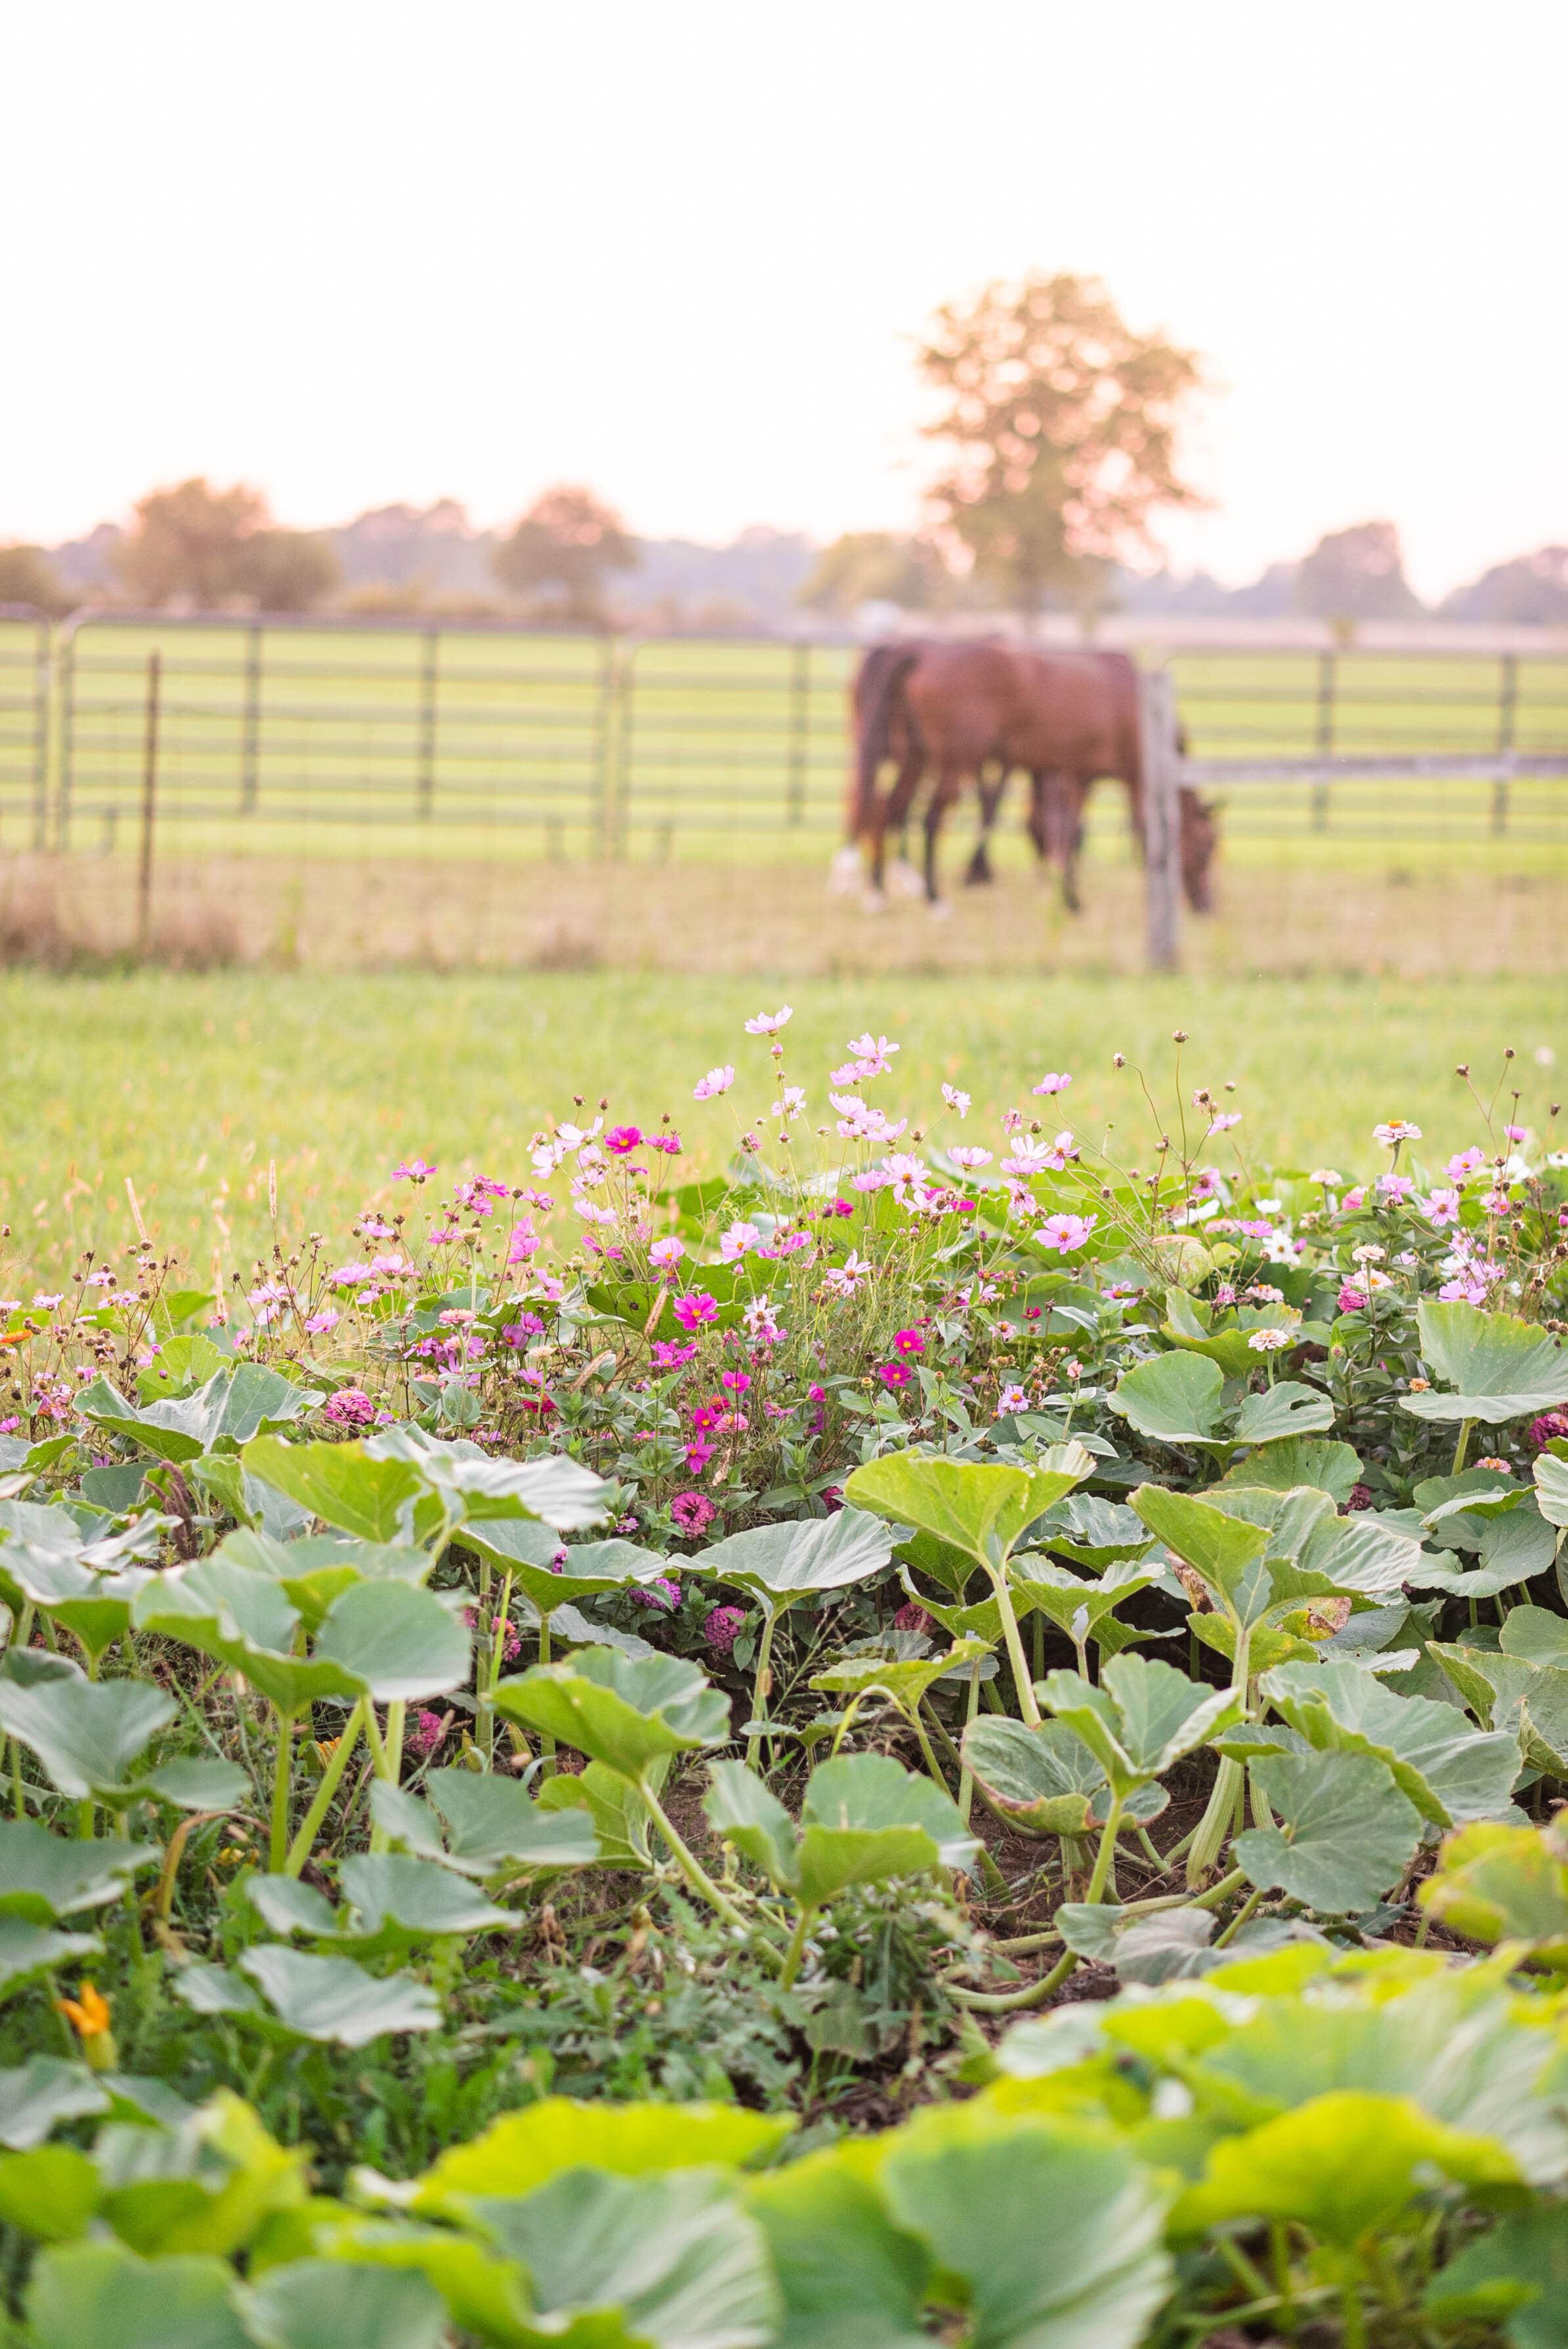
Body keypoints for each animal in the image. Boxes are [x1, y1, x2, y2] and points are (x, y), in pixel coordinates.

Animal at [840, 643, 1220, 916]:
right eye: (1206, 847)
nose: (1207, 905)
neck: (1136, 706)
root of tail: (922, 656)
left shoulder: (1077, 777)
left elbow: (1067, 833)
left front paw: (1068, 898)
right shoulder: (1113, 778)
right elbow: (1105, 832)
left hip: (917, 759)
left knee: (890, 810)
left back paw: (878, 894)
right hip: (956, 762)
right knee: (930, 819)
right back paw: (935, 899)